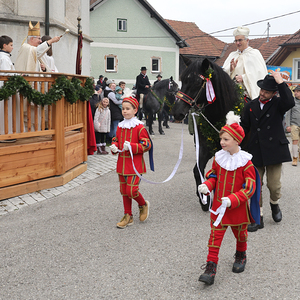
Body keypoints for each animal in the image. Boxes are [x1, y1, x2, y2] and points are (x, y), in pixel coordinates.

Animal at [171, 56, 241, 211]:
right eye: (183, 80)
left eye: (198, 82)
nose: (177, 112)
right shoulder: (205, 148)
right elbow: (198, 171)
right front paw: (204, 198)